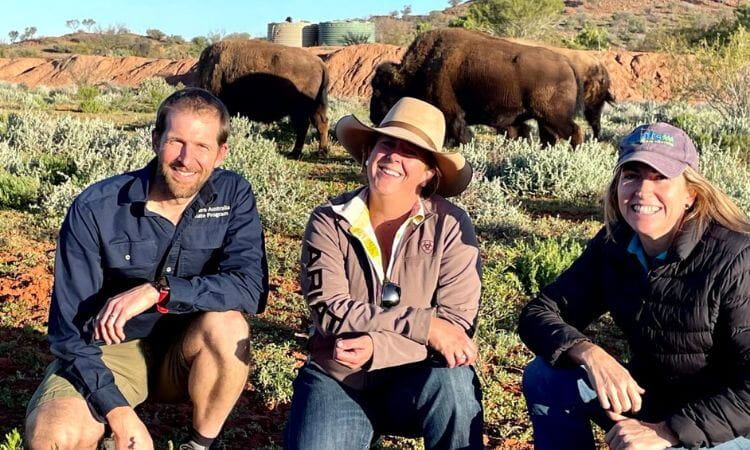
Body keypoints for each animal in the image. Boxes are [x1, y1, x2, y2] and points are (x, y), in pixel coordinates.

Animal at [198, 39, 330, 158]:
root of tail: (320, 63)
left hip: (300, 110)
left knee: (305, 127)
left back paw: (298, 153)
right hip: (315, 107)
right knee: (321, 123)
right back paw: (320, 152)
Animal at [370, 28, 588, 148]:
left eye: (381, 90)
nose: (373, 116)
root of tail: (567, 64)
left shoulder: (451, 113)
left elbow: (459, 134)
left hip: (553, 116)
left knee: (574, 131)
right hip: (545, 120)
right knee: (550, 137)